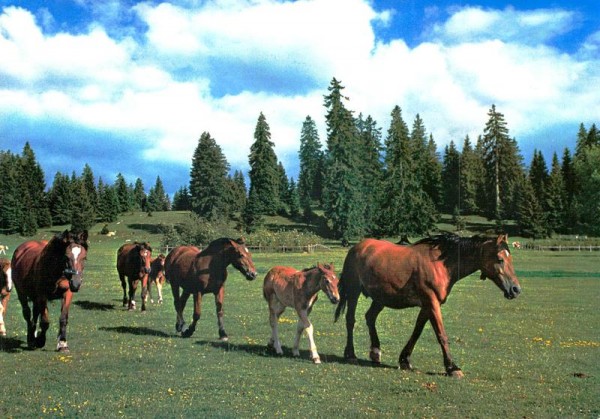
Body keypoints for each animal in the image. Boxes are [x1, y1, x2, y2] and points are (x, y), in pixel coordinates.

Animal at [336, 233, 524, 378]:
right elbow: (441, 335)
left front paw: (405, 360)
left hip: (380, 298)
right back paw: (351, 354)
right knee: (350, 320)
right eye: (500, 259)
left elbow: (417, 332)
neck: (440, 264)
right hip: (353, 291)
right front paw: (452, 368)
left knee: (370, 317)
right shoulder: (432, 303)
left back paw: (375, 352)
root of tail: (356, 247)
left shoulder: (428, 305)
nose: (515, 289)